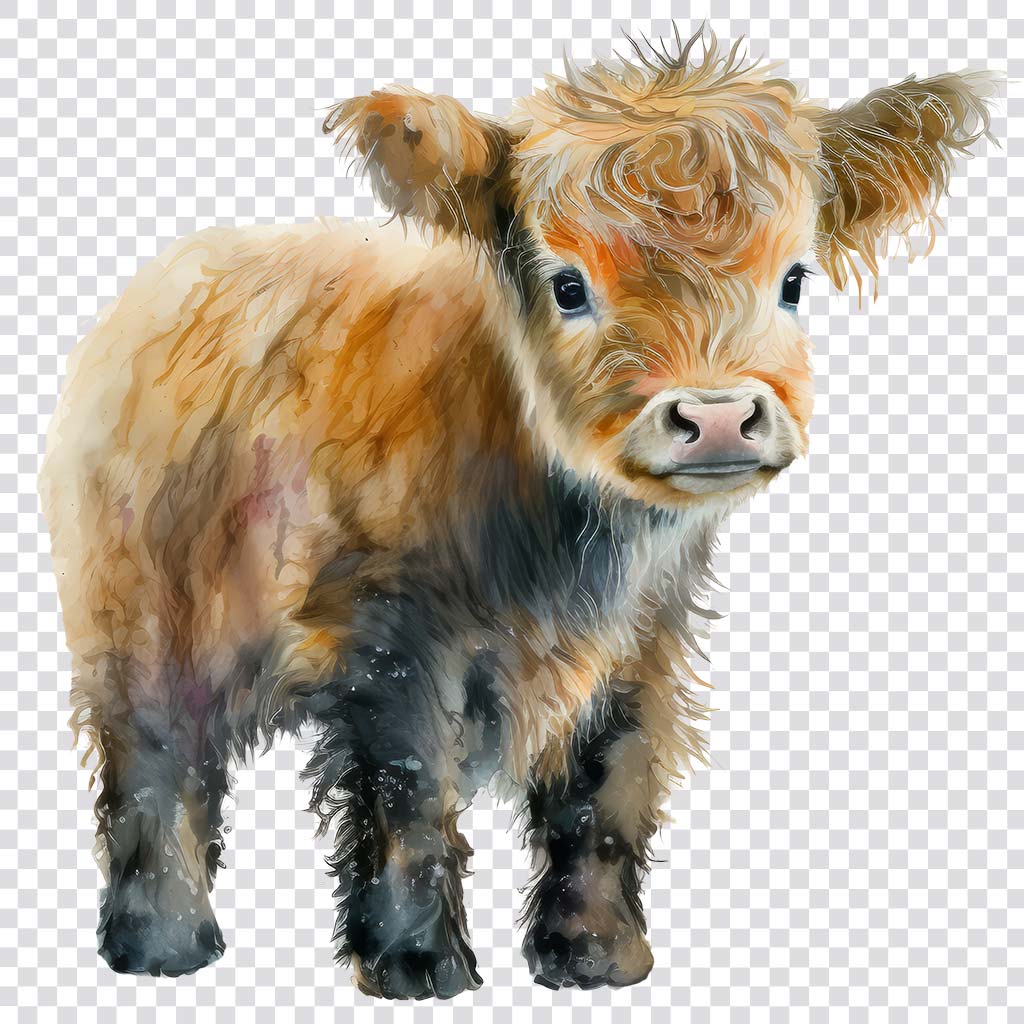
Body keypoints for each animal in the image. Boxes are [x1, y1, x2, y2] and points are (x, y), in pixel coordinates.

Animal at [39, 30, 997, 997]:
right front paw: (417, 965)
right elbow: (410, 795)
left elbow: (605, 791)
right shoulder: (391, 642)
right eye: (568, 286)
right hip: (140, 617)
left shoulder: (646, 642)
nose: (718, 415)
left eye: (794, 280)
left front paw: (596, 955)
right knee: (157, 764)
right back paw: (162, 945)